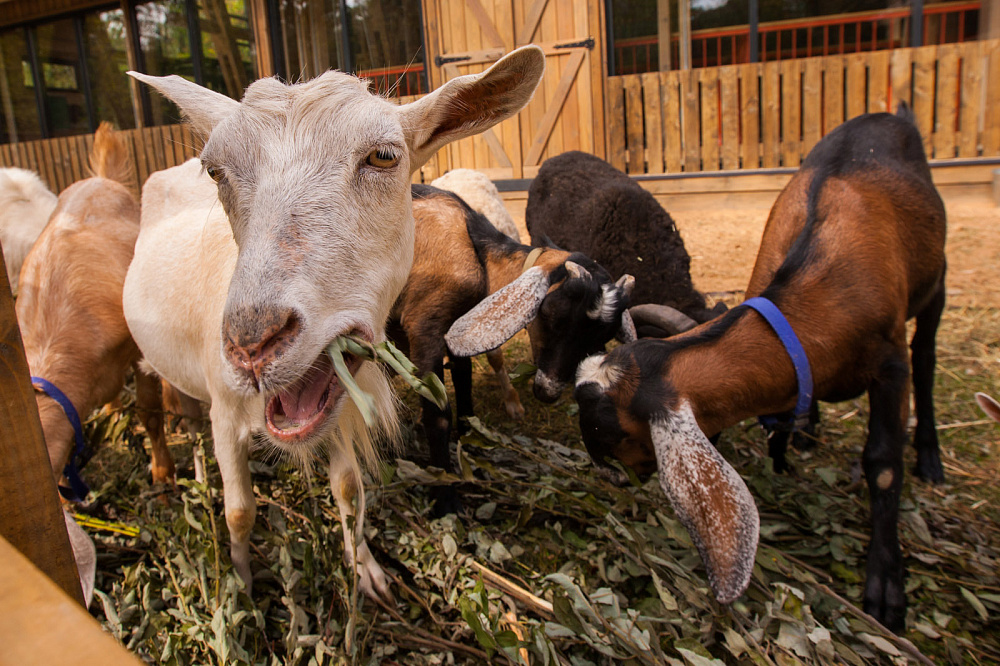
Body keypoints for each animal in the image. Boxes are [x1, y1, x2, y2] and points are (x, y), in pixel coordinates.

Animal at [126, 46, 548, 596]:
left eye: (384, 157)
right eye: (215, 171)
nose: (253, 345)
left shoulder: (339, 409)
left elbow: (347, 488)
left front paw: (366, 571)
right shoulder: (225, 409)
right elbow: (240, 512)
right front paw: (242, 586)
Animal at [388, 184, 632, 510]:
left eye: (601, 337)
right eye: (552, 313)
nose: (549, 391)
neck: (476, 250)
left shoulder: (456, 327)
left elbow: (464, 381)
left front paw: (471, 439)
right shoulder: (425, 326)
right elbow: (438, 413)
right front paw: (446, 497)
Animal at [576, 106, 948, 632]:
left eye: (610, 431)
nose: (618, 480)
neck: (816, 300)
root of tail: (889, 113)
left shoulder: (891, 365)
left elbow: (883, 466)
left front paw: (885, 587)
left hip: (937, 280)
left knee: (928, 356)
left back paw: (930, 458)